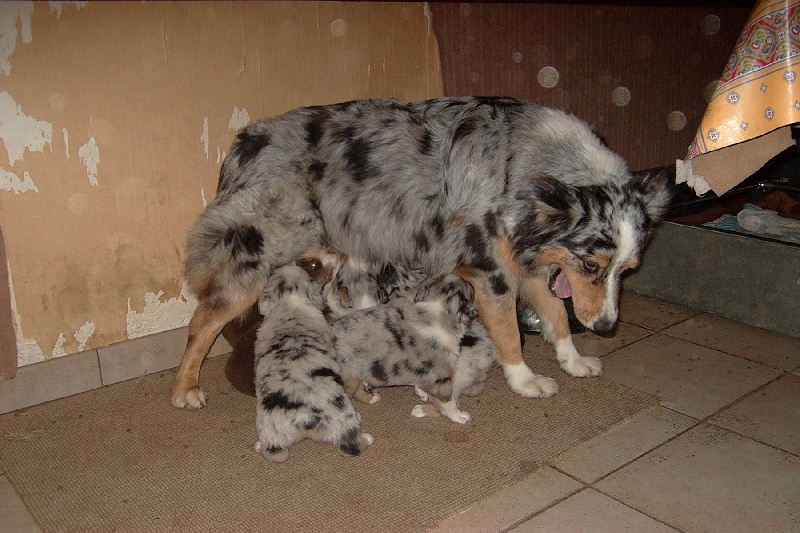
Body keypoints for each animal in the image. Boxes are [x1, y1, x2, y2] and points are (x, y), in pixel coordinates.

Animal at [252, 264, 374, 462]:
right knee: (350, 446)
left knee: (272, 451)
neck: (291, 302)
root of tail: (303, 418)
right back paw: (367, 438)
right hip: (343, 420)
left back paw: (258, 446)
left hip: (270, 429)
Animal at [330, 274, 494, 424]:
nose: (472, 285)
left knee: (356, 390)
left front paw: (422, 392)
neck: (435, 314)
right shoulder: (441, 380)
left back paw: (371, 398)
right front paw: (459, 416)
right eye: (468, 290)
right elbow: (449, 404)